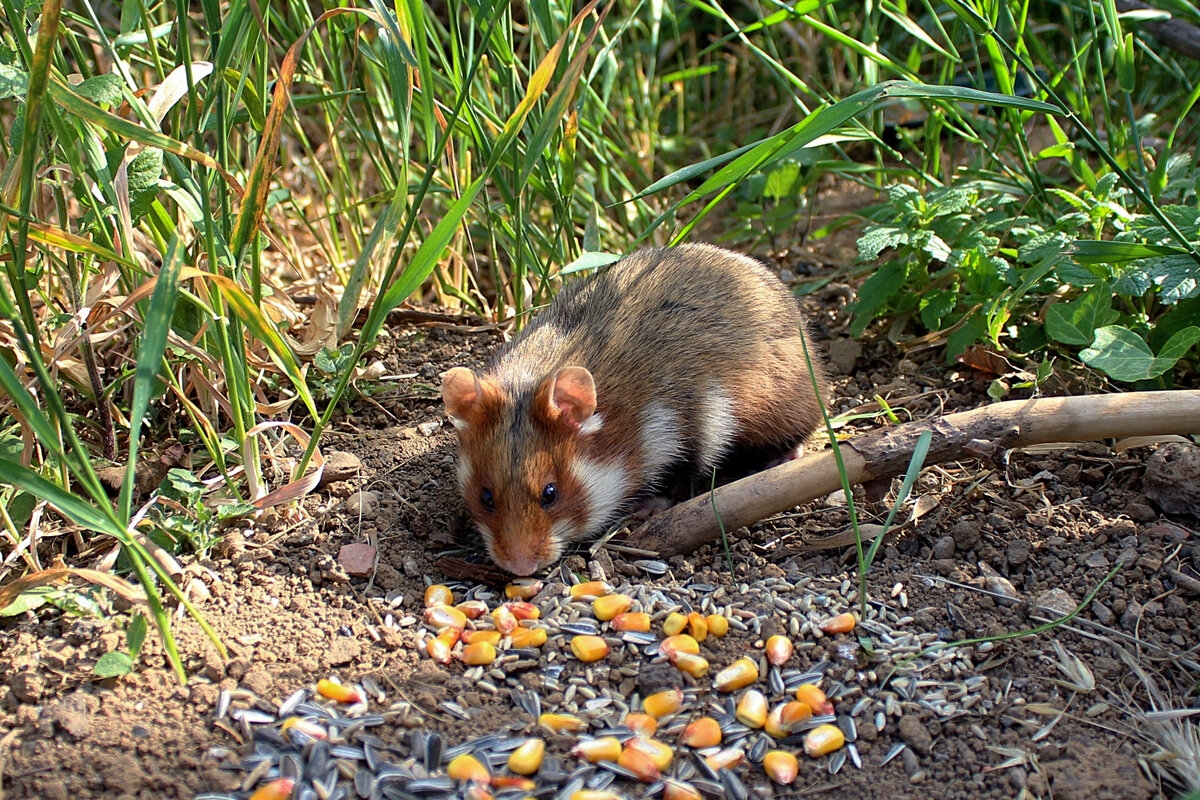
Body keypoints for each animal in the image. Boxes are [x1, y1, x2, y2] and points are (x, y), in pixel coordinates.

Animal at [441, 244, 825, 575]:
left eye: (551, 494)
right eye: (486, 497)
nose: (520, 568)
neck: (618, 430)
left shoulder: (691, 425)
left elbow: (677, 476)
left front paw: (644, 509)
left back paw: (782, 459)